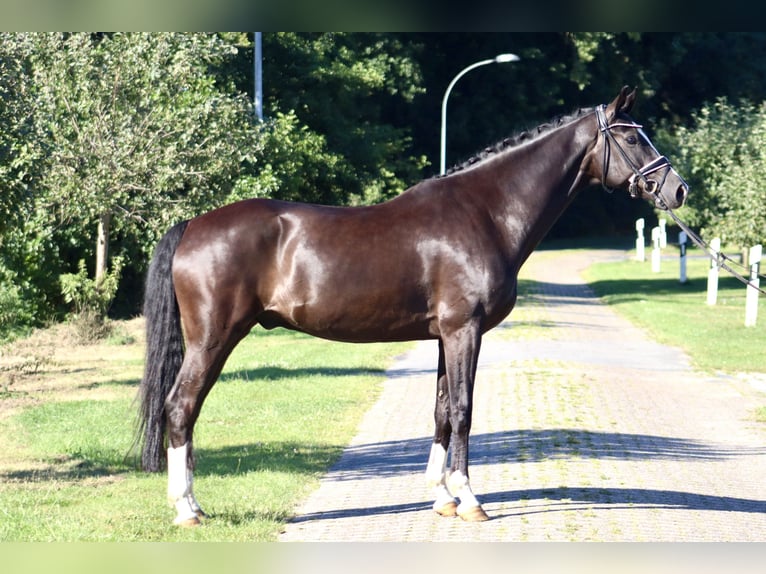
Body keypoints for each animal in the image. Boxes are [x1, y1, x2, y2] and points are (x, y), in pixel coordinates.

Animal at [136, 85, 688, 528]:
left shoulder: (447, 335)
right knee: (180, 407)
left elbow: (442, 409)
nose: (677, 189)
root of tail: (193, 225)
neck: (486, 213)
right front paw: (469, 499)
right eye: (632, 138)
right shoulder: (465, 330)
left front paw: (442, 498)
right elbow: (463, 409)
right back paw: (187, 509)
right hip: (213, 338)